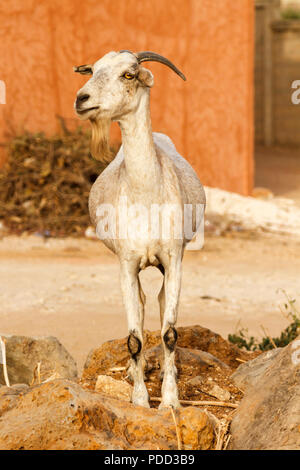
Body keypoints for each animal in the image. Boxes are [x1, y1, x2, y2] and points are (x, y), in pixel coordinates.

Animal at [75, 50, 206, 408]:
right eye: (93, 70)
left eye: (129, 74)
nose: (82, 99)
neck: (147, 195)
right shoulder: (126, 263)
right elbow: (133, 338)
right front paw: (140, 400)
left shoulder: (174, 258)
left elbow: (171, 332)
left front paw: (171, 401)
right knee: (146, 302)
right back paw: (142, 370)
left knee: (160, 304)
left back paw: (164, 373)